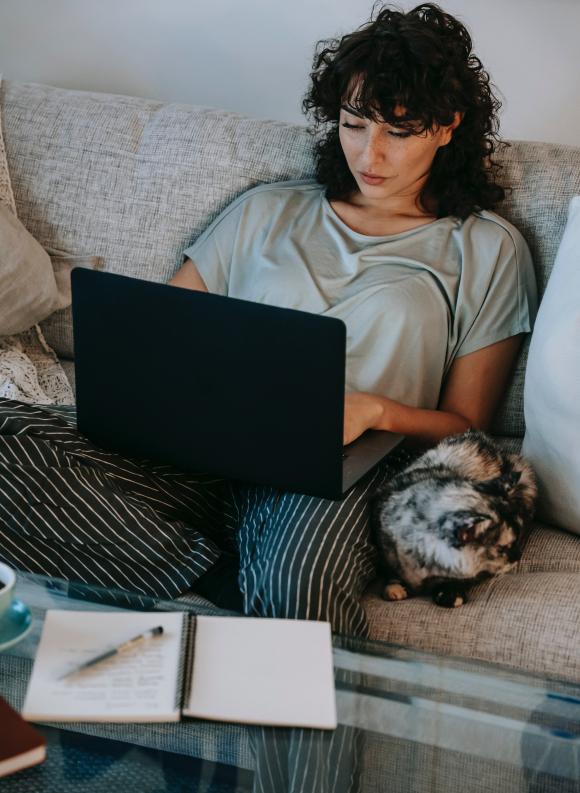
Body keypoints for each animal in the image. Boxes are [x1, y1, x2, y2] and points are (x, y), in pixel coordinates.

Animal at [372, 426, 540, 608]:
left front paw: (450, 594)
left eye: (516, 542)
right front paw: (394, 588)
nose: (519, 555)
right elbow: (391, 572)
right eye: (503, 548)